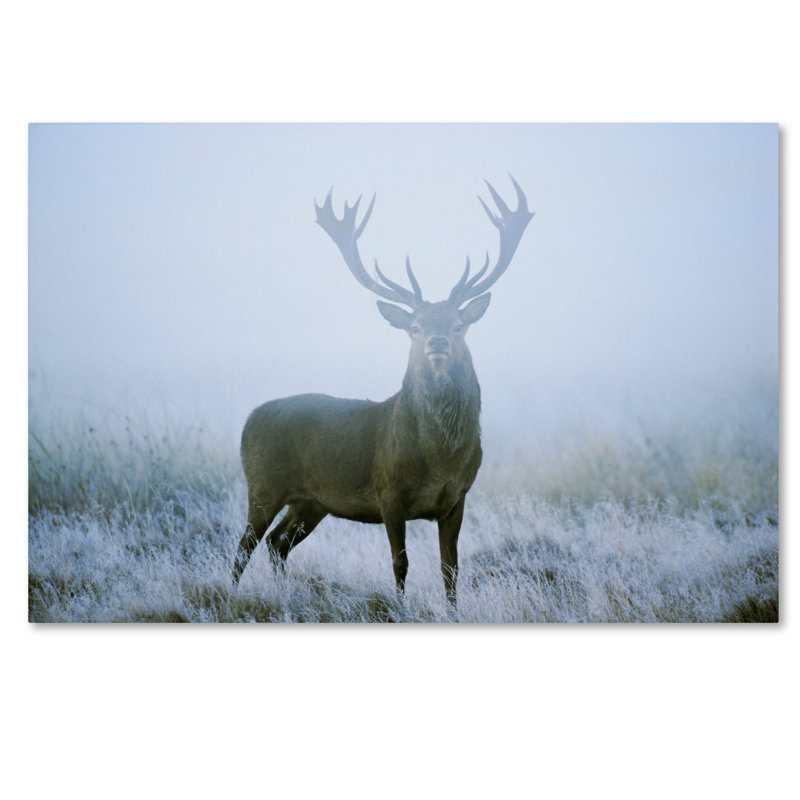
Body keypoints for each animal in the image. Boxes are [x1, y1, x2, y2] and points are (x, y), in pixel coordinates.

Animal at [232, 175, 534, 606]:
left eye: (459, 324)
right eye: (415, 326)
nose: (438, 341)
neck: (440, 458)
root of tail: (247, 421)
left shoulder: (458, 498)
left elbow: (451, 569)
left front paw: (453, 609)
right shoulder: (388, 491)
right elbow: (400, 563)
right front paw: (401, 607)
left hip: (311, 502)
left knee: (277, 543)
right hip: (262, 484)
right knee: (244, 547)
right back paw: (229, 592)